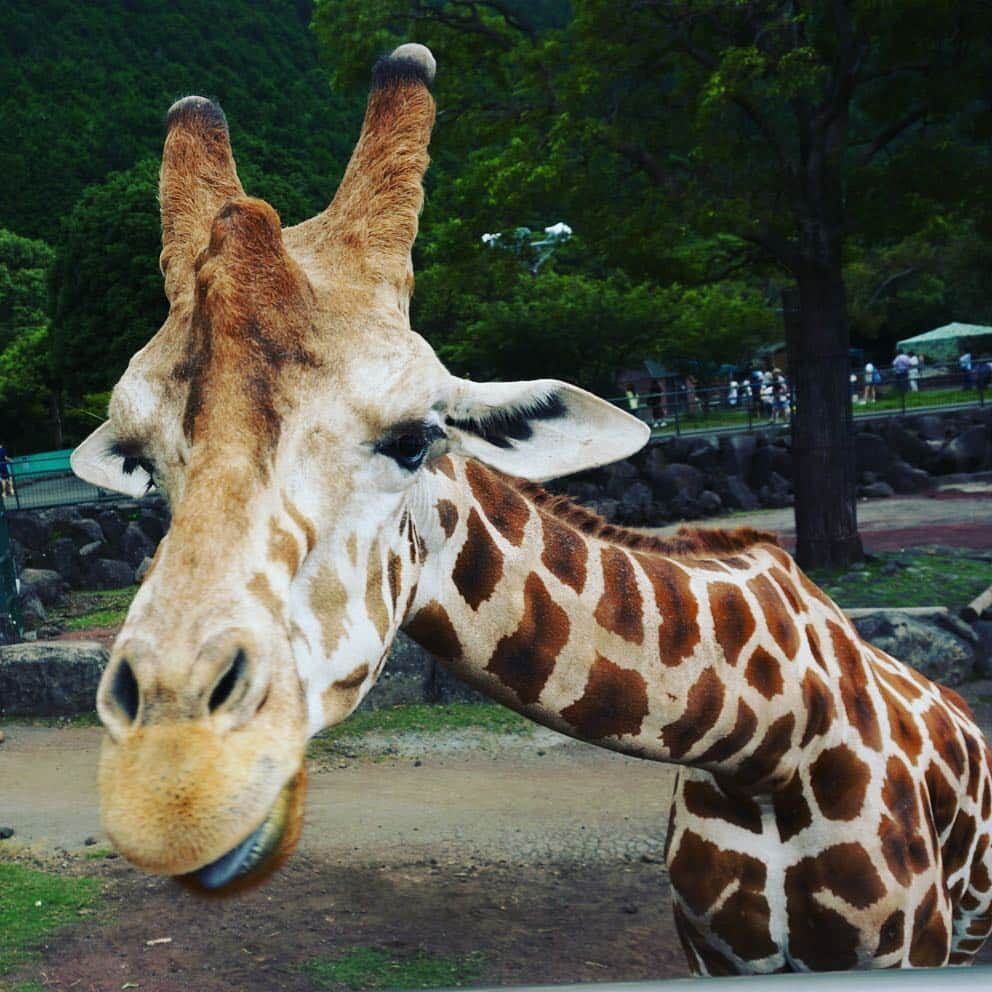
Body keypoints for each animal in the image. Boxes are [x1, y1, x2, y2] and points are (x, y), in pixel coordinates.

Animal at [71, 44, 992, 968]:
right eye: (143, 462)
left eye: (415, 439)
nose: (175, 781)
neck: (769, 747)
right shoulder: (710, 947)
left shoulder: (908, 946)